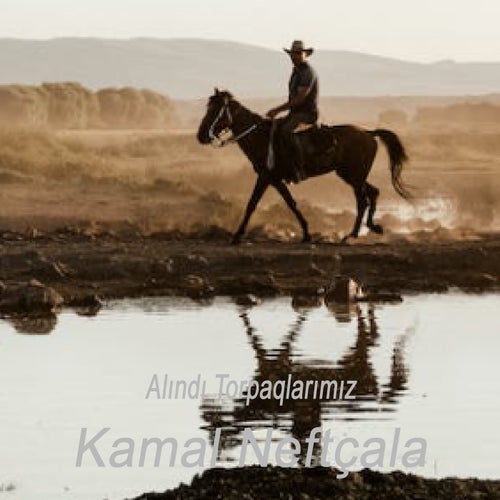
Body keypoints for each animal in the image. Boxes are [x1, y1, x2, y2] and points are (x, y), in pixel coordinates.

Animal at [196, 91, 410, 246]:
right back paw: (372, 228)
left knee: (362, 200)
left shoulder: (266, 177)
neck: (261, 138)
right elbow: (291, 203)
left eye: (215, 111)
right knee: (373, 192)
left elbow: (252, 204)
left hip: (353, 176)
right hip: (352, 175)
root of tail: (368, 133)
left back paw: (352, 235)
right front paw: (306, 233)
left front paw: (237, 236)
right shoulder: (274, 179)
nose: (201, 136)